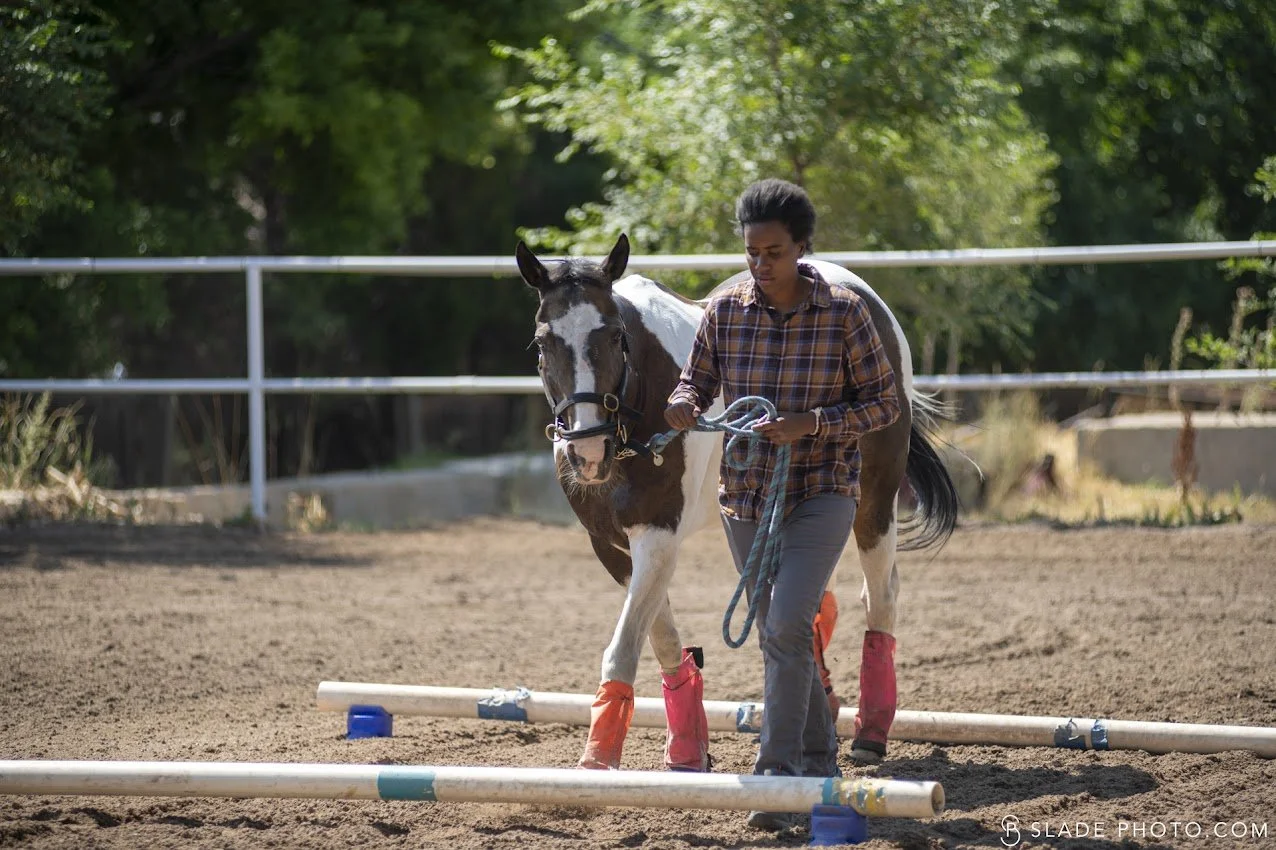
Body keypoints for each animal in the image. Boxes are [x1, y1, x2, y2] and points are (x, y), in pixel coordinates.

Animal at [515, 233, 959, 771]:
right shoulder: (611, 545)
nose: (588, 451)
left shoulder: (659, 535)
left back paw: (870, 732)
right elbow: (662, 637)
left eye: (615, 335)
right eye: (543, 342)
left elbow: (625, 646)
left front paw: (598, 759)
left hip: (875, 496)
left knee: (881, 595)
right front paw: (688, 750)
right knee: (812, 602)